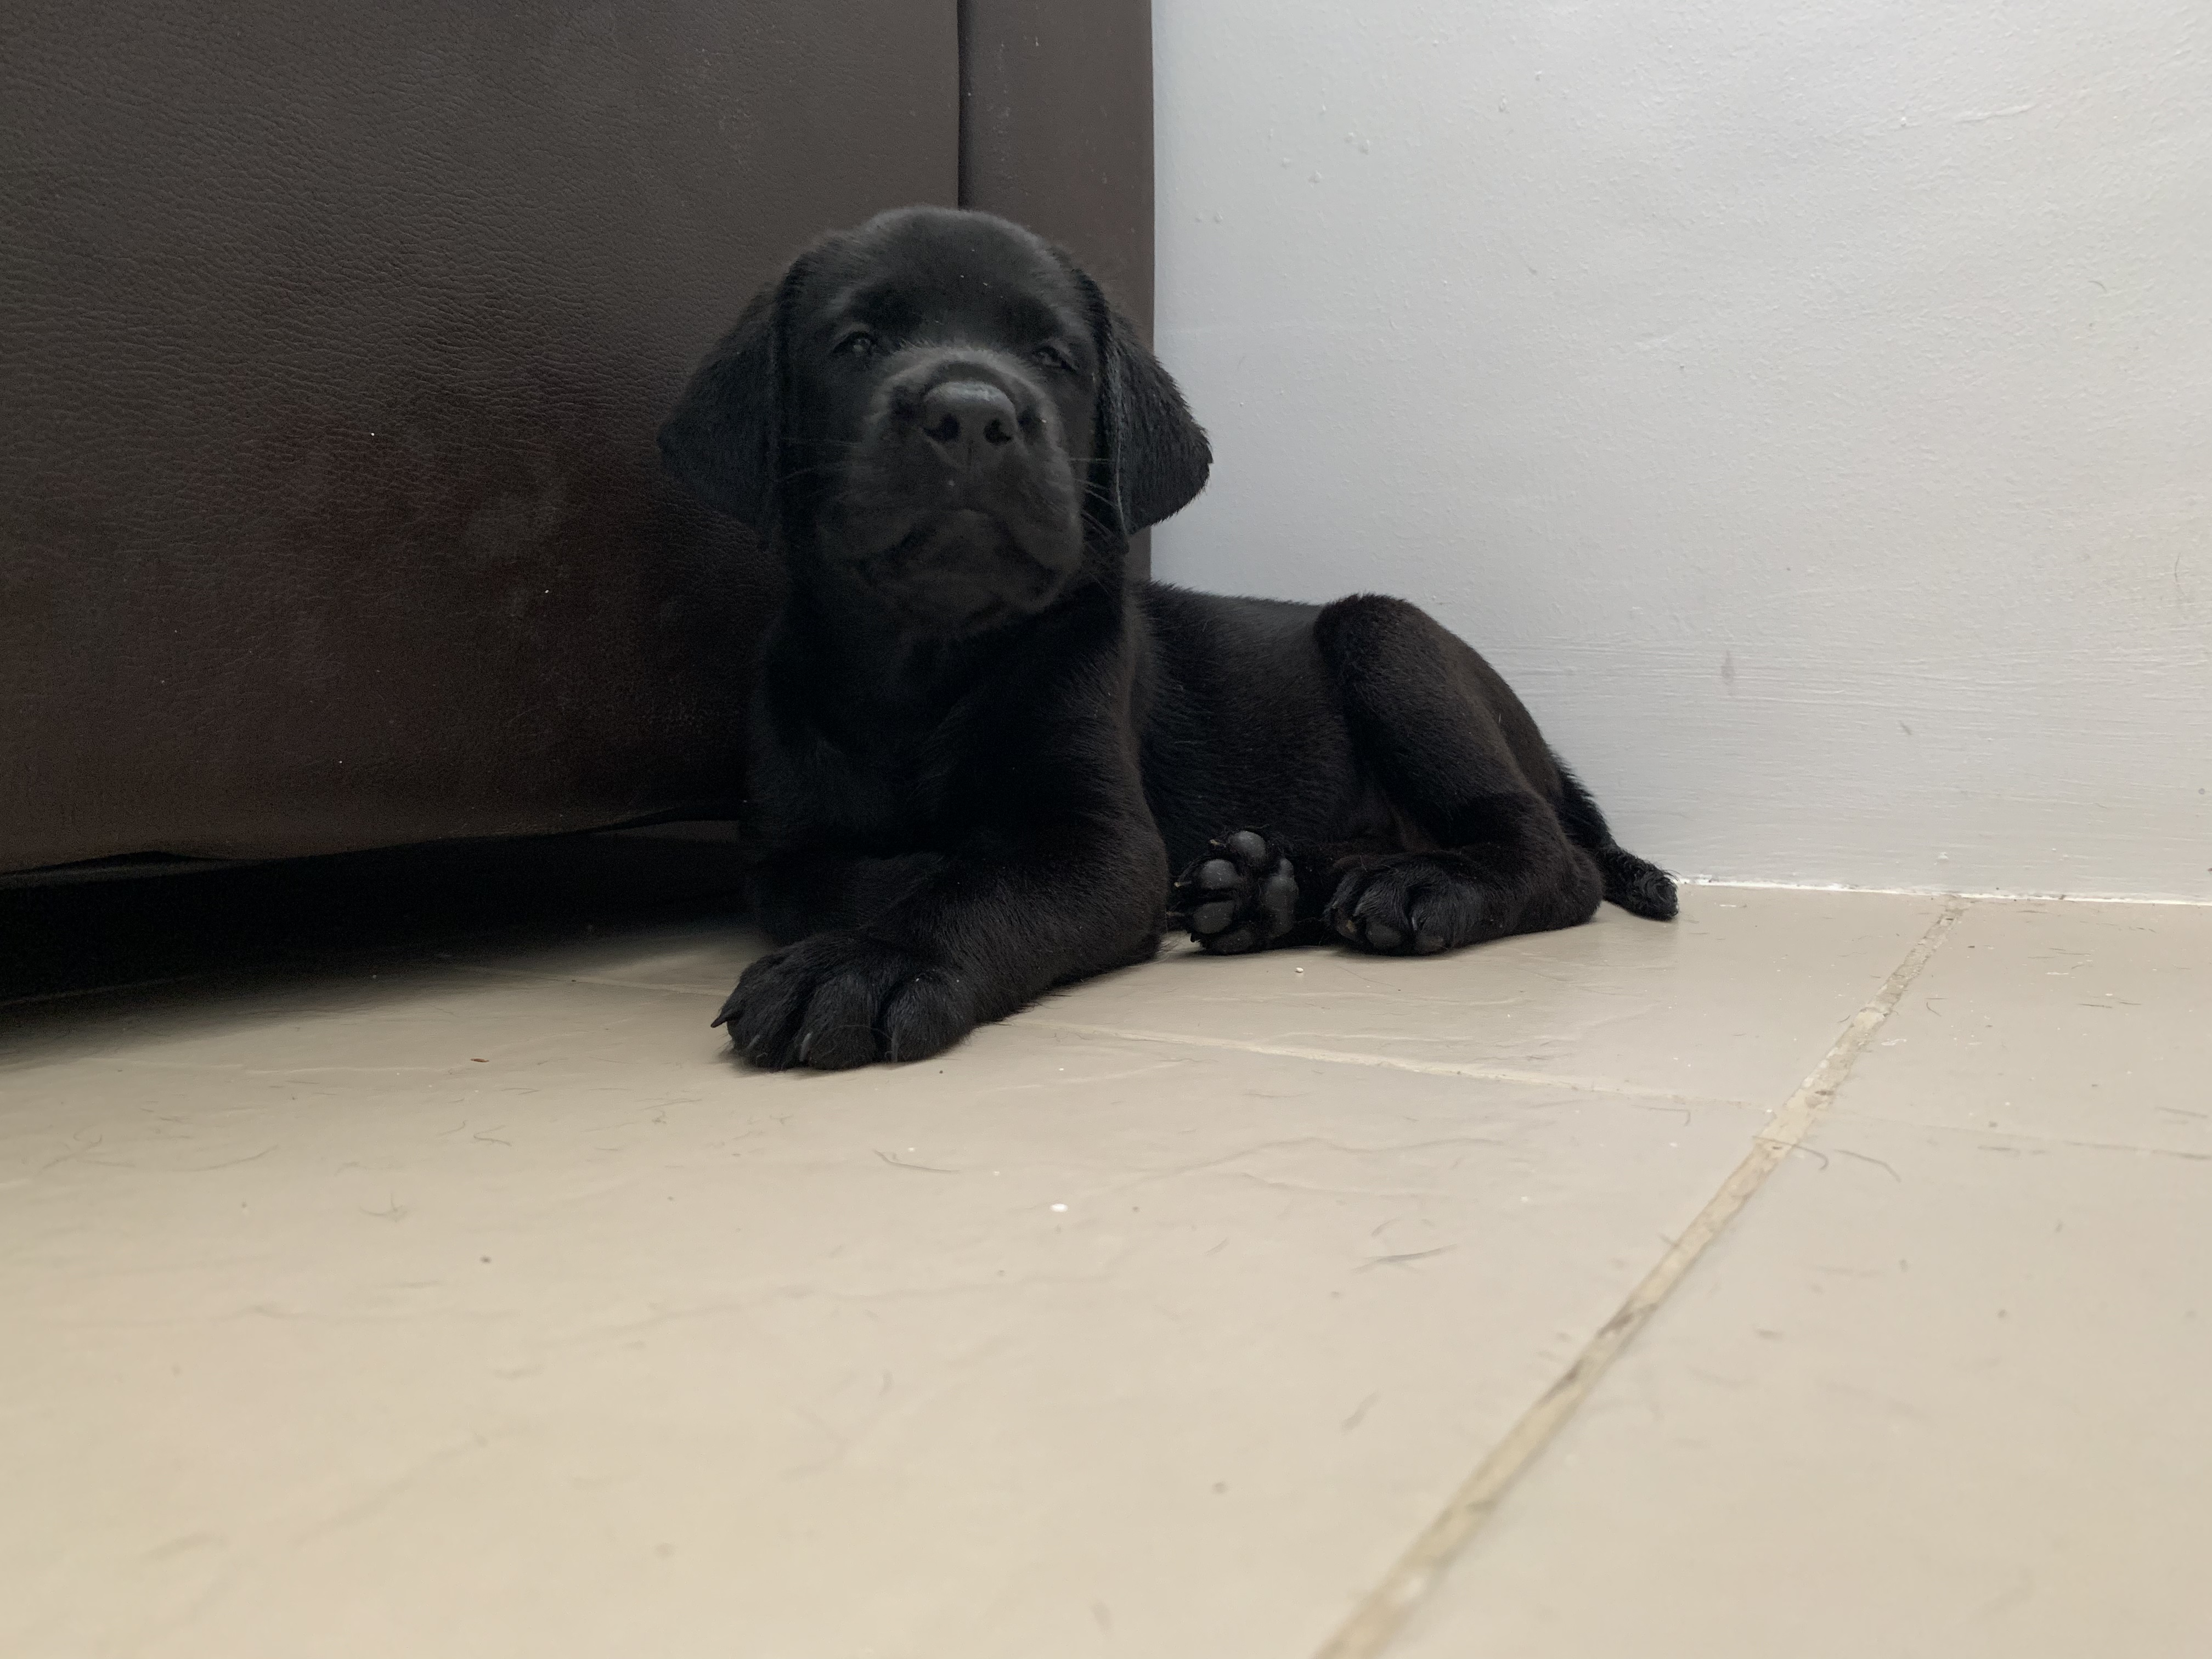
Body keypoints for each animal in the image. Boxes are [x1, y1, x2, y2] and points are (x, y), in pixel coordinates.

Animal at [659, 208, 1672, 1070]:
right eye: (858, 343)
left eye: (1053, 357)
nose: (974, 413)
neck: (930, 664)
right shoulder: (780, 850)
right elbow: (843, 878)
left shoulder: (1106, 845)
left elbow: (983, 887)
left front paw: (870, 960)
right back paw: (1268, 889)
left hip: (1388, 637)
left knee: (1555, 859)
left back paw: (1416, 884)